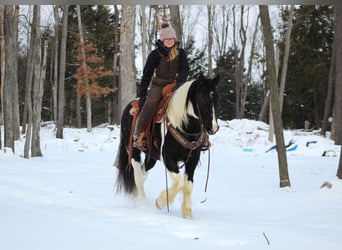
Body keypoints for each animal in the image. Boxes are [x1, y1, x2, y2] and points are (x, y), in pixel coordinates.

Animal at [115, 73, 220, 218]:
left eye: (216, 98)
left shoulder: (192, 160)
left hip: (151, 157)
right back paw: (142, 203)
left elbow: (188, 186)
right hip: (133, 151)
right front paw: (160, 202)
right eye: (203, 98)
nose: (213, 128)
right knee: (138, 176)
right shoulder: (168, 157)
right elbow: (179, 183)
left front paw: (187, 214)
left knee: (143, 173)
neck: (183, 125)